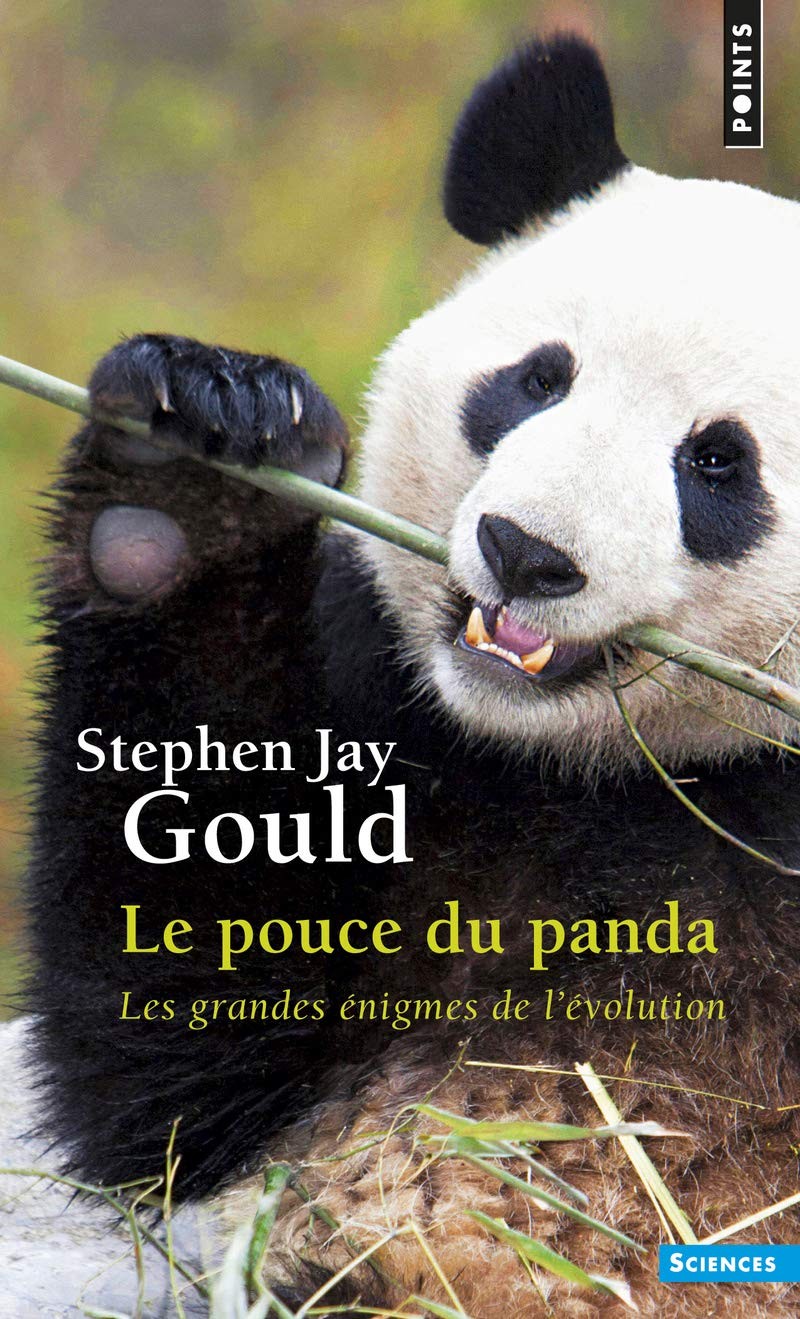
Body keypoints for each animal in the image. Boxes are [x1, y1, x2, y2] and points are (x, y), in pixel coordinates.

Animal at [27, 33, 800, 1319]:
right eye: (535, 380)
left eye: (715, 463)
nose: (525, 551)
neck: (598, 776)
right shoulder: (404, 756)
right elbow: (175, 1062)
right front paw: (194, 463)